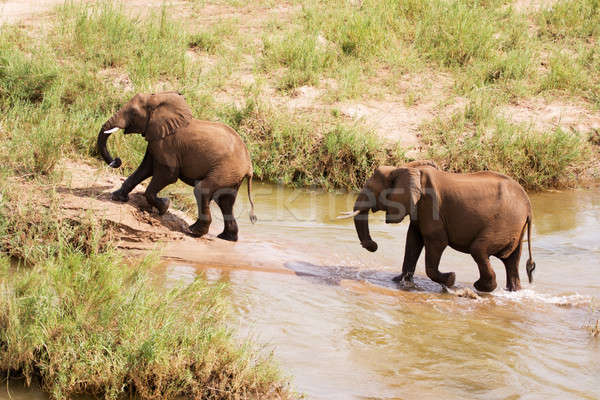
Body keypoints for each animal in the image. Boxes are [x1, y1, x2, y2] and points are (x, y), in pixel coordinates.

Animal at [98, 91, 255, 241]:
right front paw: (117, 197)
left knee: (202, 190)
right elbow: (144, 169)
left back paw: (193, 231)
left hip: (226, 169)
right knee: (225, 201)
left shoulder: (166, 144)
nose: (116, 160)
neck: (159, 98)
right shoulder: (156, 139)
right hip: (232, 175)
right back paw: (226, 237)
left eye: (133, 112)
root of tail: (249, 165)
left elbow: (168, 174)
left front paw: (165, 205)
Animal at [340, 161, 536, 292]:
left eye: (373, 191)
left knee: (479, 250)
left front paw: (450, 279)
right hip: (514, 227)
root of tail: (528, 206)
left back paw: (479, 287)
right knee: (512, 260)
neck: (404, 168)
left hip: (503, 223)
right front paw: (399, 281)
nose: (373, 246)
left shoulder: (430, 205)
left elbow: (435, 241)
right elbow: (413, 240)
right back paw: (512, 291)